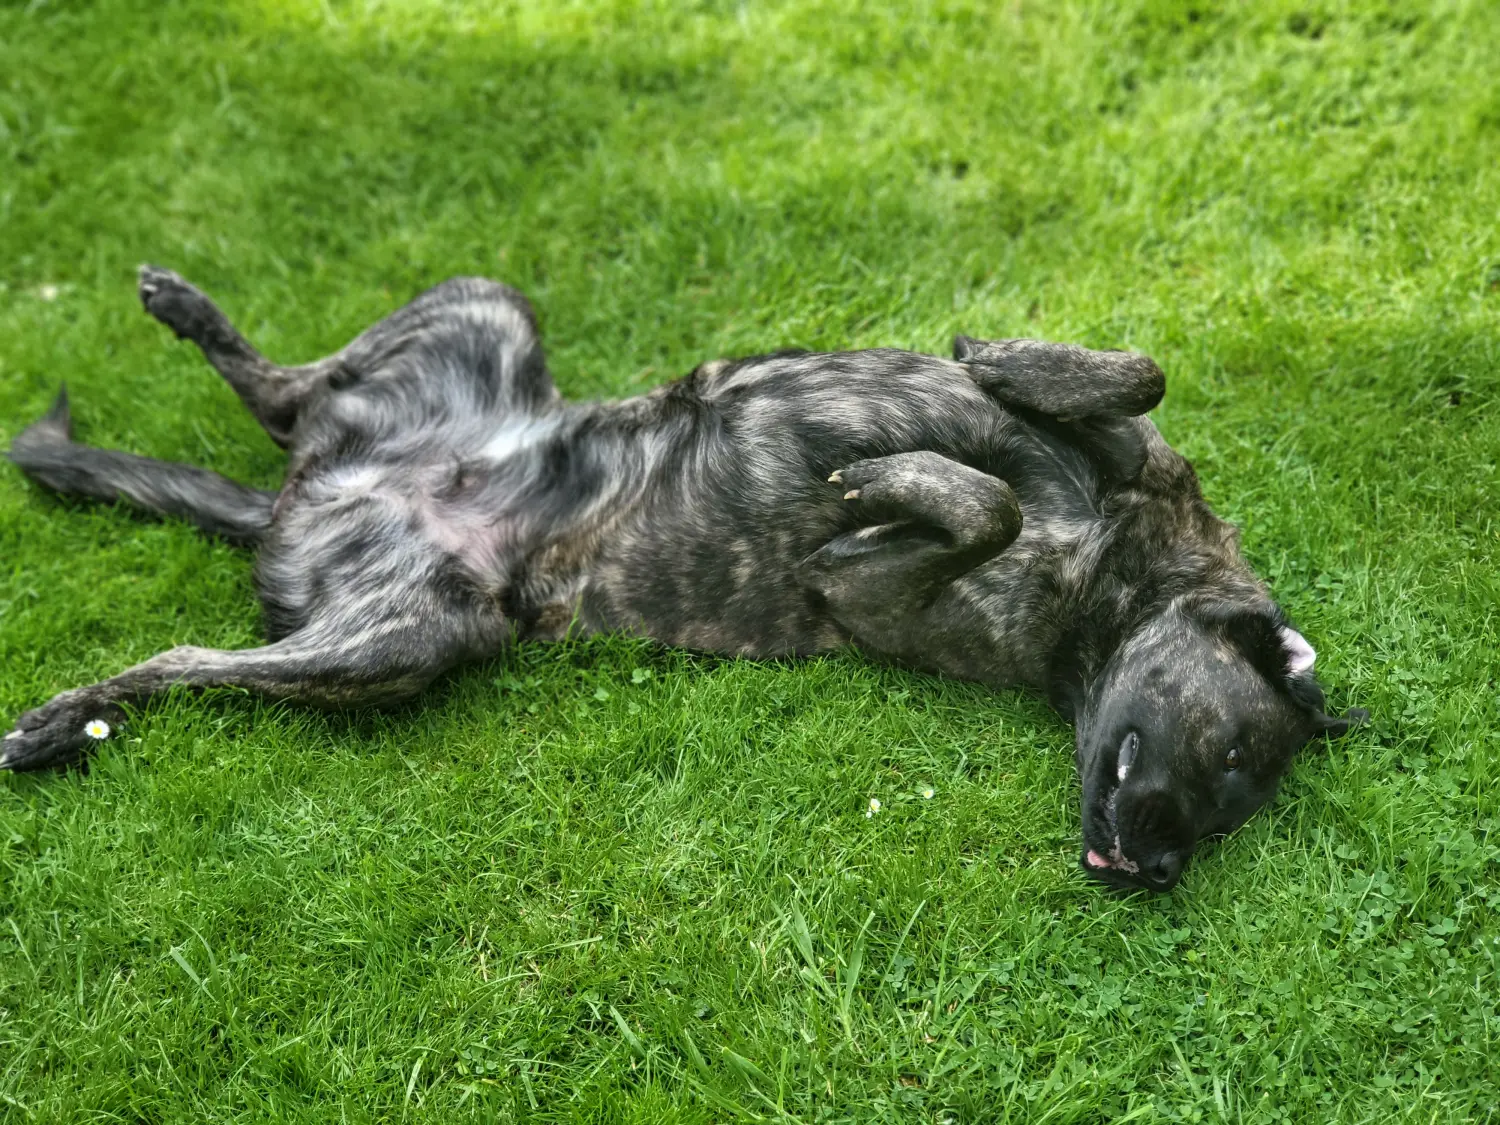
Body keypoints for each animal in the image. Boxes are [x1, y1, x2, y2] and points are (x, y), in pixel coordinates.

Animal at [2, 267, 1362, 888]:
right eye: (1230, 757)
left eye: (1235, 805)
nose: (1162, 872)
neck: (1114, 573)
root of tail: (309, 500)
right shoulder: (1123, 452)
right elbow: (1124, 376)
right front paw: (995, 366)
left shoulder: (881, 596)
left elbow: (976, 504)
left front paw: (900, 485)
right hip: (486, 310)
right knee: (281, 397)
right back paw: (187, 312)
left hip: (405, 640)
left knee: (192, 650)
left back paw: (70, 719)